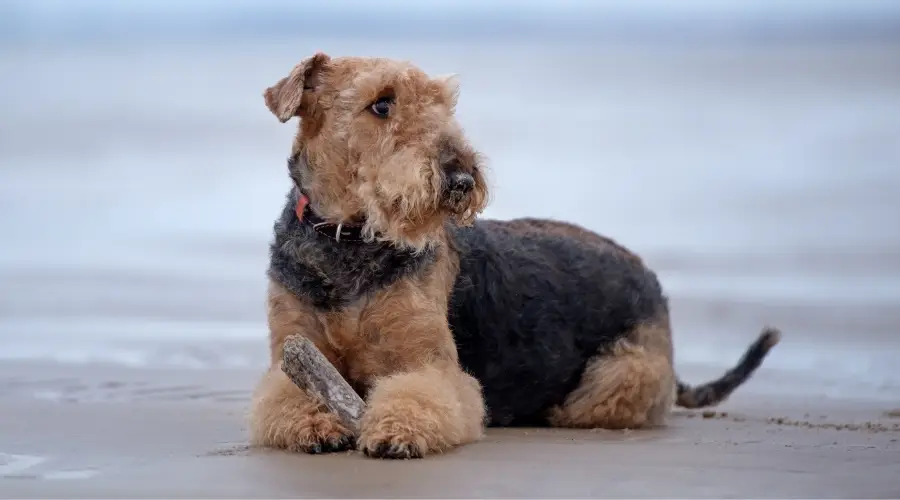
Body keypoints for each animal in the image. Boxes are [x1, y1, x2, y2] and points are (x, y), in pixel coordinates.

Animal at [248, 52, 780, 458]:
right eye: (381, 103)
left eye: (444, 103)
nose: (462, 178)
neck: (348, 240)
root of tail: (653, 283)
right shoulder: (290, 354)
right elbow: (285, 394)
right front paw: (315, 425)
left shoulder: (430, 367)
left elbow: (420, 396)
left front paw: (396, 432)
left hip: (620, 377)